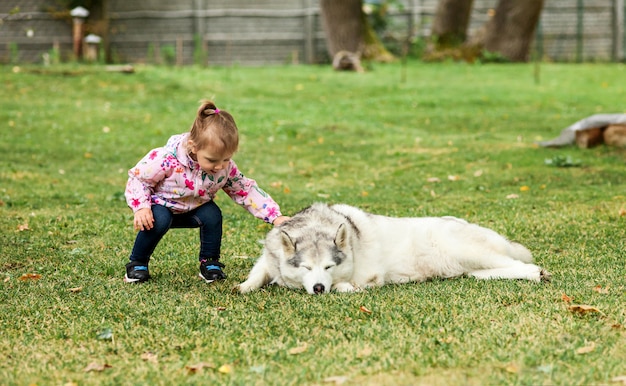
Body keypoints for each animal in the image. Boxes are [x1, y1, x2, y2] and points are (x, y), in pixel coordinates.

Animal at [236, 204, 548, 294]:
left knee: (521, 264)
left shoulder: (370, 278)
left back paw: (537, 273)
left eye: (328, 267)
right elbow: (259, 271)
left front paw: (340, 287)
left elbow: (346, 286)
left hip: (467, 251)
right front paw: (245, 286)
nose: (318, 289)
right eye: (305, 267)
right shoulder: (269, 257)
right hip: (473, 267)